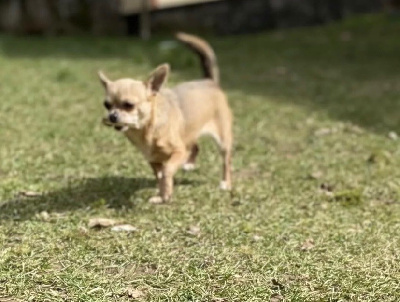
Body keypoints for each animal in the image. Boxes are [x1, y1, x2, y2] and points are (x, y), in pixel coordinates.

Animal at [98, 32, 233, 203]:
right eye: (107, 105)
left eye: (129, 105)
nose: (112, 116)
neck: (146, 131)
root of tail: (209, 81)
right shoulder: (153, 160)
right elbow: (160, 175)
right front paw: (162, 193)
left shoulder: (178, 152)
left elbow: (167, 169)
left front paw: (165, 193)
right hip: (190, 132)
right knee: (194, 146)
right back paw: (189, 164)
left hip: (223, 140)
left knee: (226, 161)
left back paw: (226, 183)